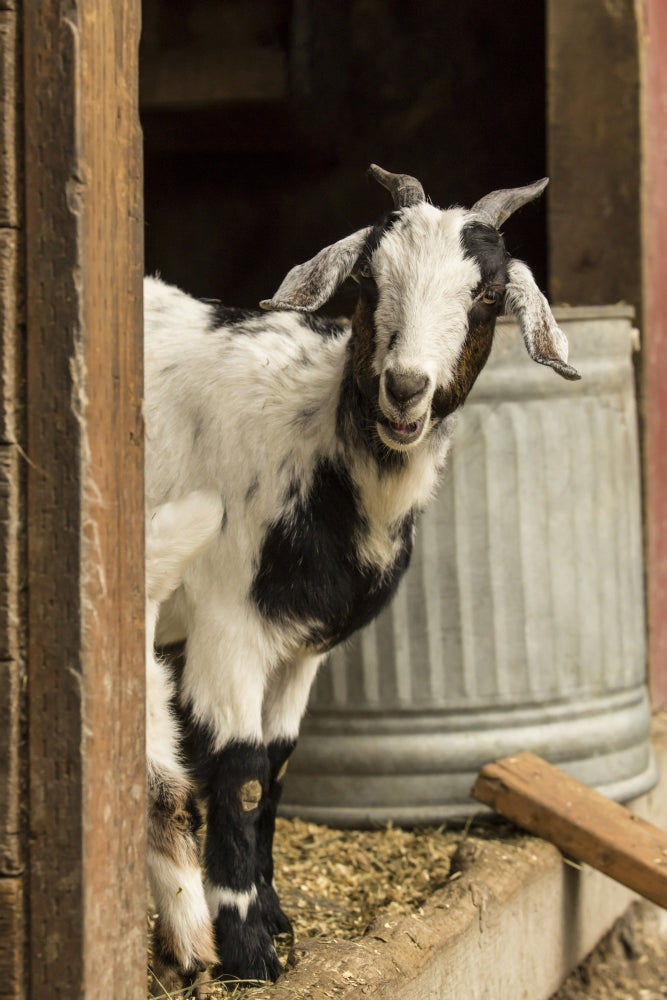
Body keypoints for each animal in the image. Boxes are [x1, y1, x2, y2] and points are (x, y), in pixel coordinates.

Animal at [143, 165, 580, 988]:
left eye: (485, 295)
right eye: (369, 280)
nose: (404, 387)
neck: (316, 443)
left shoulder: (301, 650)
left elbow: (279, 766)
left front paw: (274, 916)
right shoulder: (227, 626)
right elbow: (242, 772)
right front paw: (248, 951)